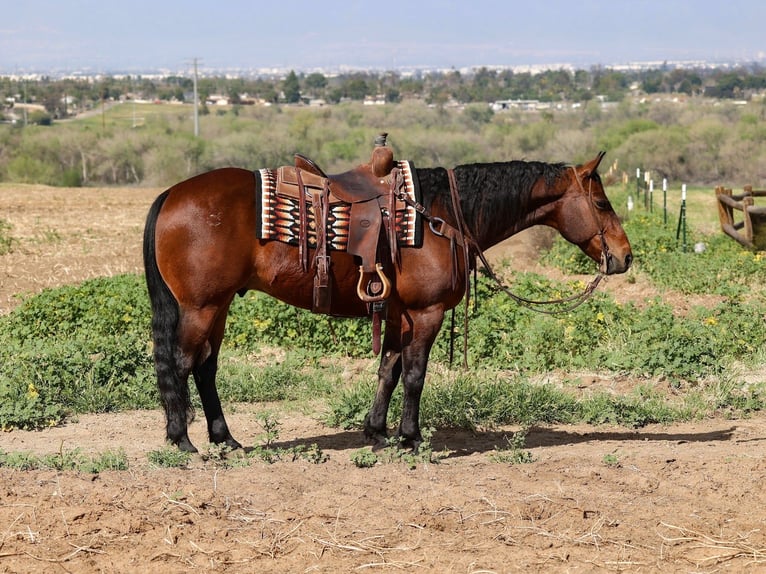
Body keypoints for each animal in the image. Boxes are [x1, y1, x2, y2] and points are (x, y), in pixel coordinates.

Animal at [143, 150, 632, 453]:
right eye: (602, 203)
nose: (625, 256)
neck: (442, 216)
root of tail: (172, 194)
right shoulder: (426, 313)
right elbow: (414, 376)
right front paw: (411, 438)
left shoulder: (398, 314)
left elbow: (389, 370)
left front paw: (376, 432)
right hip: (202, 307)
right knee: (182, 364)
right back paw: (182, 440)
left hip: (219, 306)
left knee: (206, 368)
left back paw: (224, 439)